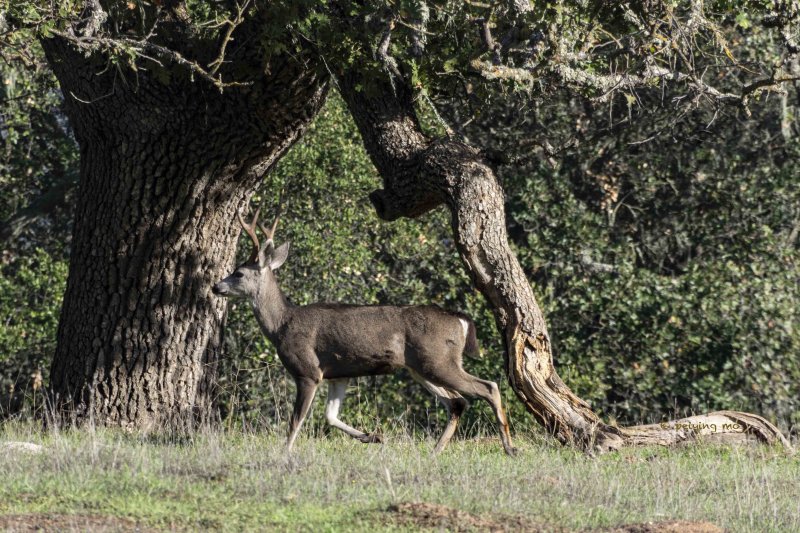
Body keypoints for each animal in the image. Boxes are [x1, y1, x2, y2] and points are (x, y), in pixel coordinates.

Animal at [209, 206, 516, 456]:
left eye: (238, 272)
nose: (215, 286)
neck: (282, 324)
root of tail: (462, 320)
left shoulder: (308, 370)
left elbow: (295, 421)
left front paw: (283, 455)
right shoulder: (338, 374)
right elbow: (330, 416)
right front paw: (374, 436)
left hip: (438, 360)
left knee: (488, 387)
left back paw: (509, 447)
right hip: (420, 366)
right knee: (457, 402)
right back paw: (435, 451)